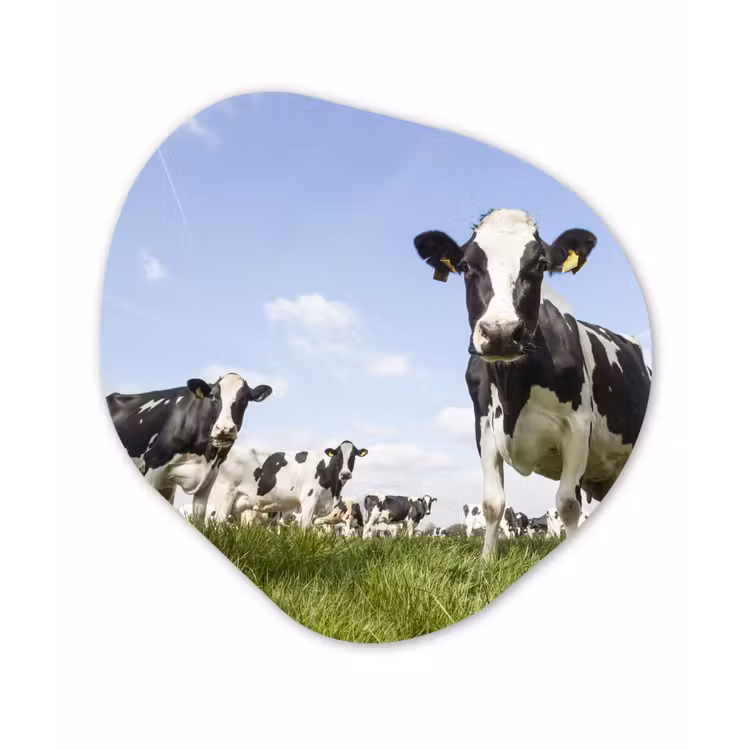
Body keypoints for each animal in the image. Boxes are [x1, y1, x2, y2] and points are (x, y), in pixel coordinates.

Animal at [105, 373, 273, 523]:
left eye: (244, 399)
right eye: (212, 396)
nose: (225, 429)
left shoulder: (209, 476)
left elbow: (199, 518)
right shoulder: (153, 462)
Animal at [413, 208, 651, 559]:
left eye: (539, 264)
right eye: (466, 265)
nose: (500, 332)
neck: (514, 388)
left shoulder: (578, 426)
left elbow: (567, 504)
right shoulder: (484, 425)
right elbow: (492, 503)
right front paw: (487, 560)